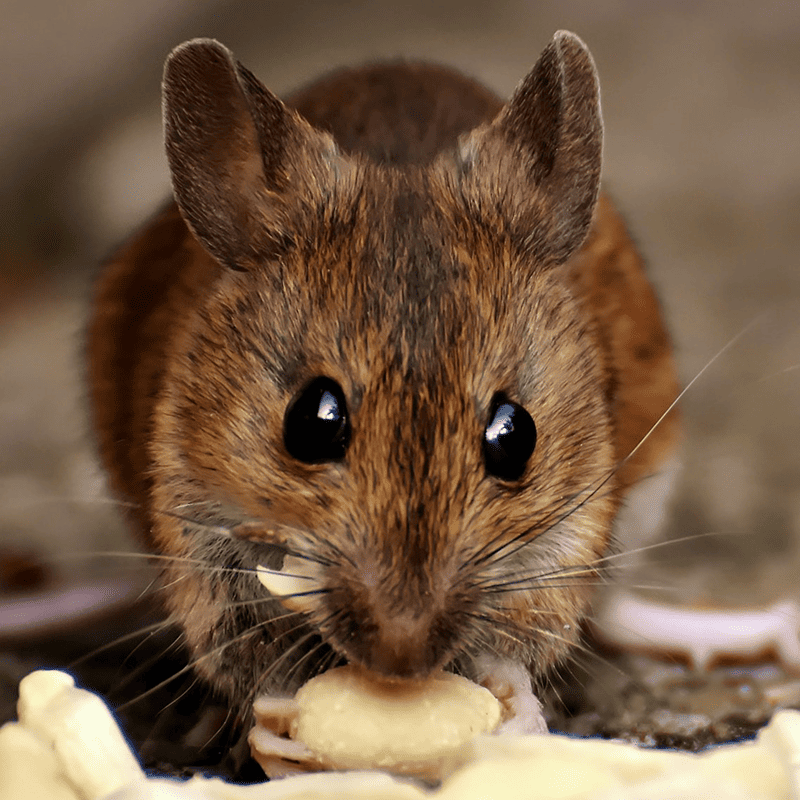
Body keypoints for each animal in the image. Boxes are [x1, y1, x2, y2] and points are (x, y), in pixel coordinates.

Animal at [87, 32, 680, 728]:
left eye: (516, 437)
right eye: (311, 423)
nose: (401, 660)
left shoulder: (565, 542)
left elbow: (514, 652)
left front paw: (521, 717)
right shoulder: (199, 539)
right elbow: (259, 669)